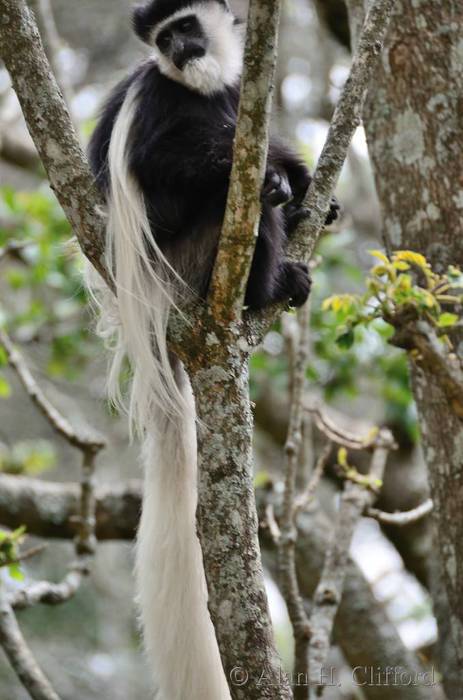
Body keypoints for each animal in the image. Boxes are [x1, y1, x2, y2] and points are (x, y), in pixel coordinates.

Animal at [88, 1, 340, 700]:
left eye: (185, 28)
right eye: (165, 37)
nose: (179, 49)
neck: (198, 86)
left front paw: (310, 186)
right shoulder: (159, 97)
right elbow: (160, 160)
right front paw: (279, 176)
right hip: (191, 257)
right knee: (233, 199)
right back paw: (272, 278)